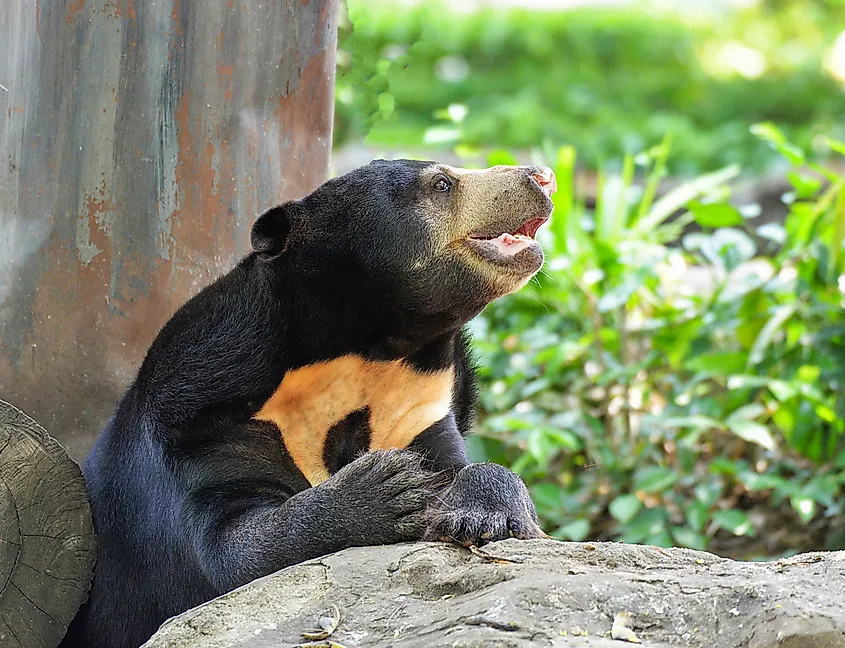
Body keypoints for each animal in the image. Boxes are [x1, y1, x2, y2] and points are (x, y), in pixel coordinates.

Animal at [60, 159, 557, 648]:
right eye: (441, 184)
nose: (543, 177)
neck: (366, 356)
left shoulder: (418, 408)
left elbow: (461, 470)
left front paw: (479, 516)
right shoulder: (204, 418)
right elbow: (233, 550)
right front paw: (387, 488)